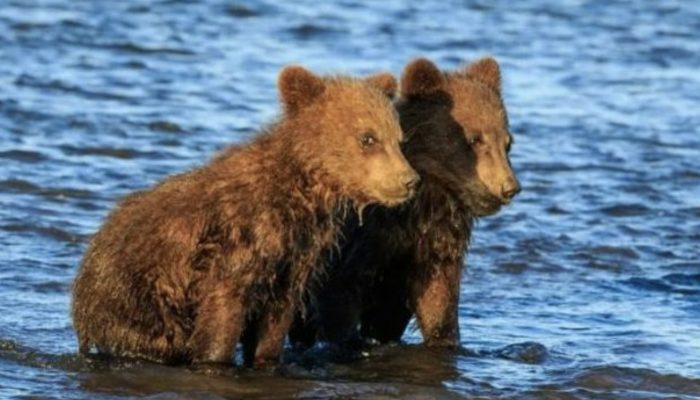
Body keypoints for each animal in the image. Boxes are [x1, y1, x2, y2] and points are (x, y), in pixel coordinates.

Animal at [71, 64, 419, 368]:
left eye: (398, 138)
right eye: (368, 137)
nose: (409, 180)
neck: (302, 190)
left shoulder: (294, 258)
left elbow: (275, 321)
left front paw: (265, 357)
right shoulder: (236, 245)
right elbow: (222, 314)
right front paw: (216, 359)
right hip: (139, 299)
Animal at [290, 57, 520, 349]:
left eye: (507, 142)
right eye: (474, 139)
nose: (509, 187)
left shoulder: (434, 247)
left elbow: (438, 303)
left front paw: (445, 338)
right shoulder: (363, 244)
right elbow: (339, 299)